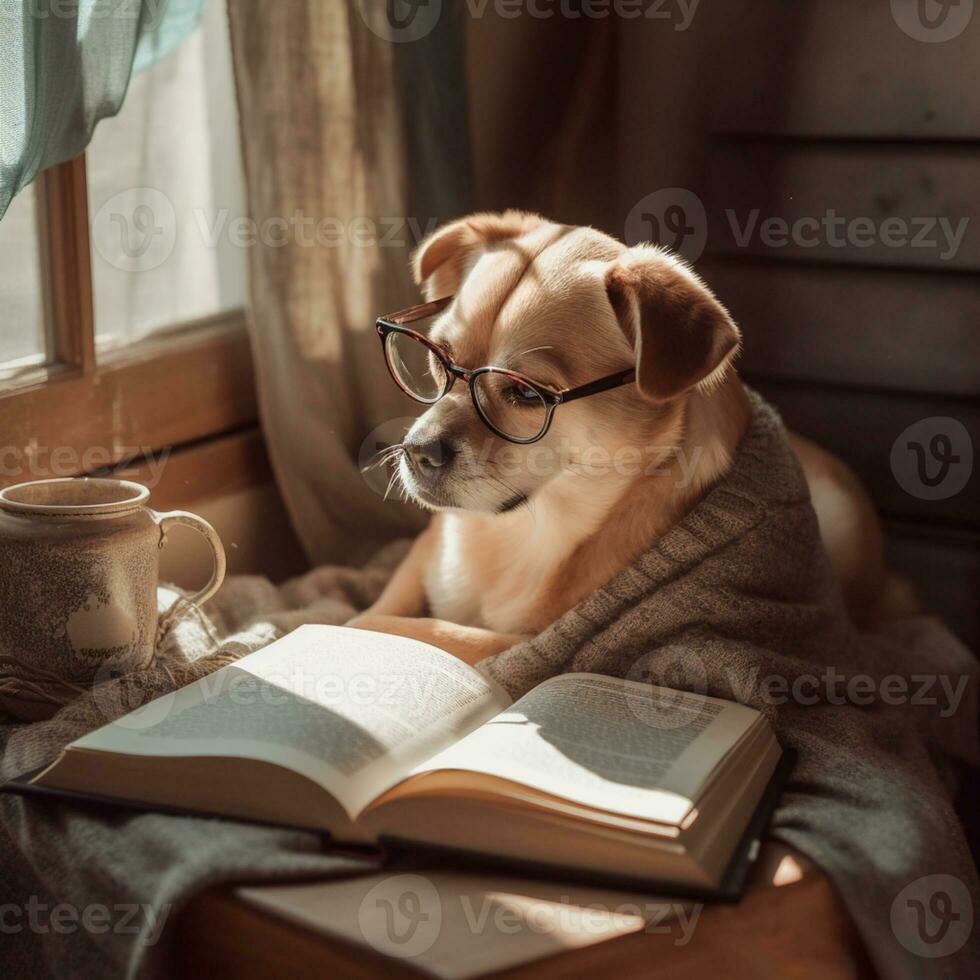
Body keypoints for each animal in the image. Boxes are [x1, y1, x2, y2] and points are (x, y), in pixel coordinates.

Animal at [348, 211, 916, 664]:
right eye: (436, 358)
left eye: (525, 393)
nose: (416, 452)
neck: (518, 537)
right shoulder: (426, 548)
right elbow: (389, 603)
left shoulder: (527, 643)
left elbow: (400, 628)